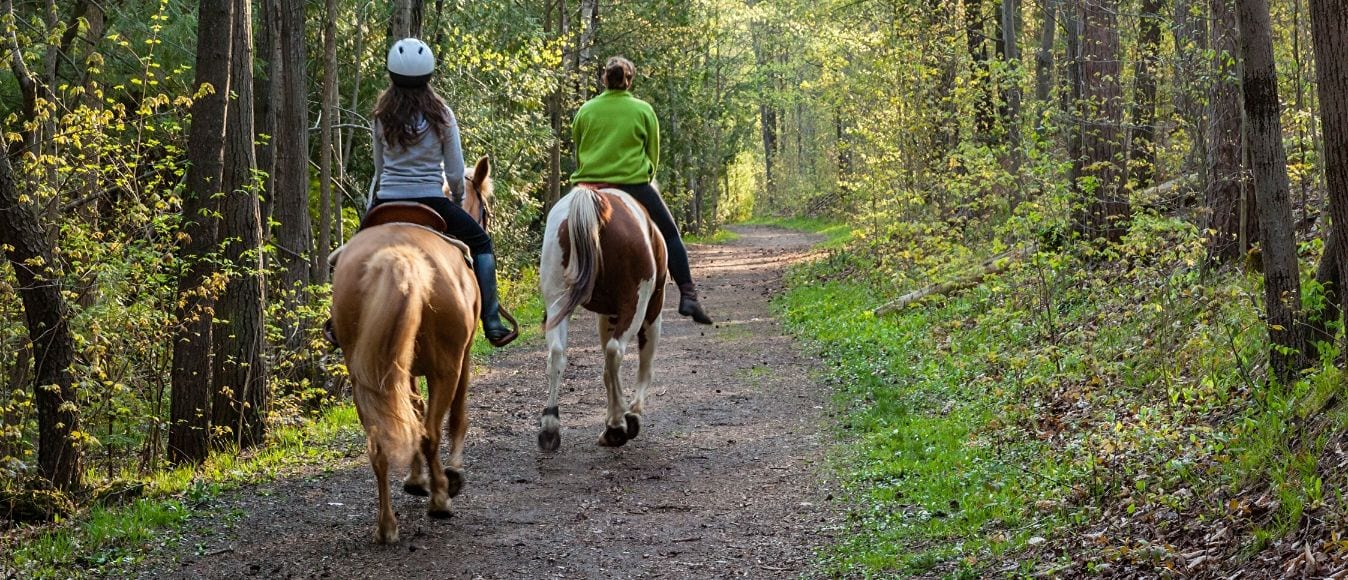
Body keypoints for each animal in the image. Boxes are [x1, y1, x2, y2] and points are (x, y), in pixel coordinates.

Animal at [331, 155, 496, 544]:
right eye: (485, 206)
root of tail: (398, 255)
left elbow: (412, 410)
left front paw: (415, 479)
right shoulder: (463, 358)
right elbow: (456, 415)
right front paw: (451, 475)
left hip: (365, 375)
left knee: (381, 441)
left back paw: (387, 525)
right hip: (446, 367)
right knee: (432, 430)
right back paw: (440, 499)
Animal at [533, 183, 665, 450]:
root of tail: (592, 200)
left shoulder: (607, 316)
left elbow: (606, 370)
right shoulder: (652, 310)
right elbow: (644, 364)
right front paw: (631, 415)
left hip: (557, 301)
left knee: (557, 354)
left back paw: (550, 427)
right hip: (636, 303)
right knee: (616, 352)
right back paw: (618, 423)